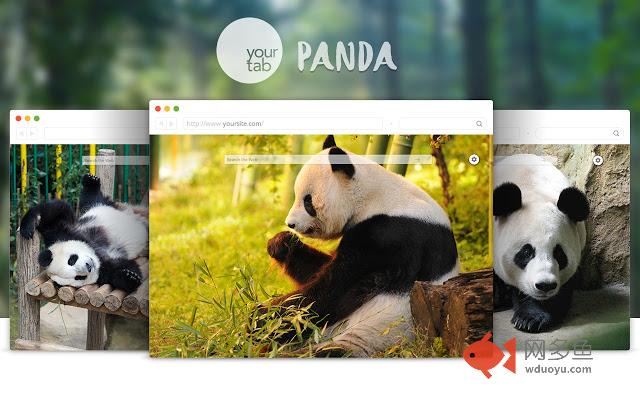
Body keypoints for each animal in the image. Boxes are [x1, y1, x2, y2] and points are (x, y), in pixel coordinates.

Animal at [19, 174, 147, 293]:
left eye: (71, 260)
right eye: (79, 277)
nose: (89, 266)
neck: (95, 253)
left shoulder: (61, 232)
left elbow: (55, 211)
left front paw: (27, 227)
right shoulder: (104, 269)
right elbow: (119, 269)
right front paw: (129, 277)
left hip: (100, 207)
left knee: (92, 199)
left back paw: (91, 181)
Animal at [266, 135, 459, 356]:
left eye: (308, 202)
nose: (291, 224)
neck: (373, 196)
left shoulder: (390, 234)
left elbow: (335, 288)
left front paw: (260, 317)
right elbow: (318, 272)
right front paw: (281, 243)